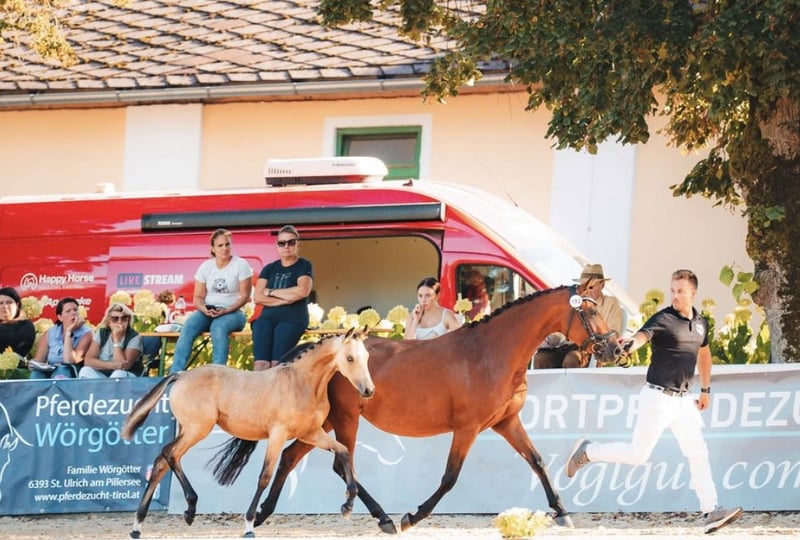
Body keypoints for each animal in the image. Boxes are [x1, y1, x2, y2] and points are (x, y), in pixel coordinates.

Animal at [120, 326, 374, 539]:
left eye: (367, 357)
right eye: (349, 358)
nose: (368, 390)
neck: (302, 384)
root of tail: (182, 374)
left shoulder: (311, 433)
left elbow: (343, 452)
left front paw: (348, 506)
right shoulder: (278, 434)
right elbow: (265, 476)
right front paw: (250, 524)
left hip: (189, 429)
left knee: (161, 462)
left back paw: (138, 526)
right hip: (197, 429)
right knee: (169, 453)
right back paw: (190, 508)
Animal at [209, 284, 621, 533]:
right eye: (589, 312)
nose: (615, 348)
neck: (492, 352)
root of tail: (321, 346)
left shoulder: (507, 422)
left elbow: (536, 460)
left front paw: (562, 512)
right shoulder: (468, 427)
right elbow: (450, 477)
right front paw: (412, 516)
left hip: (320, 422)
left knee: (291, 457)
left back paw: (263, 514)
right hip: (345, 419)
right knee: (340, 464)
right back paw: (384, 518)